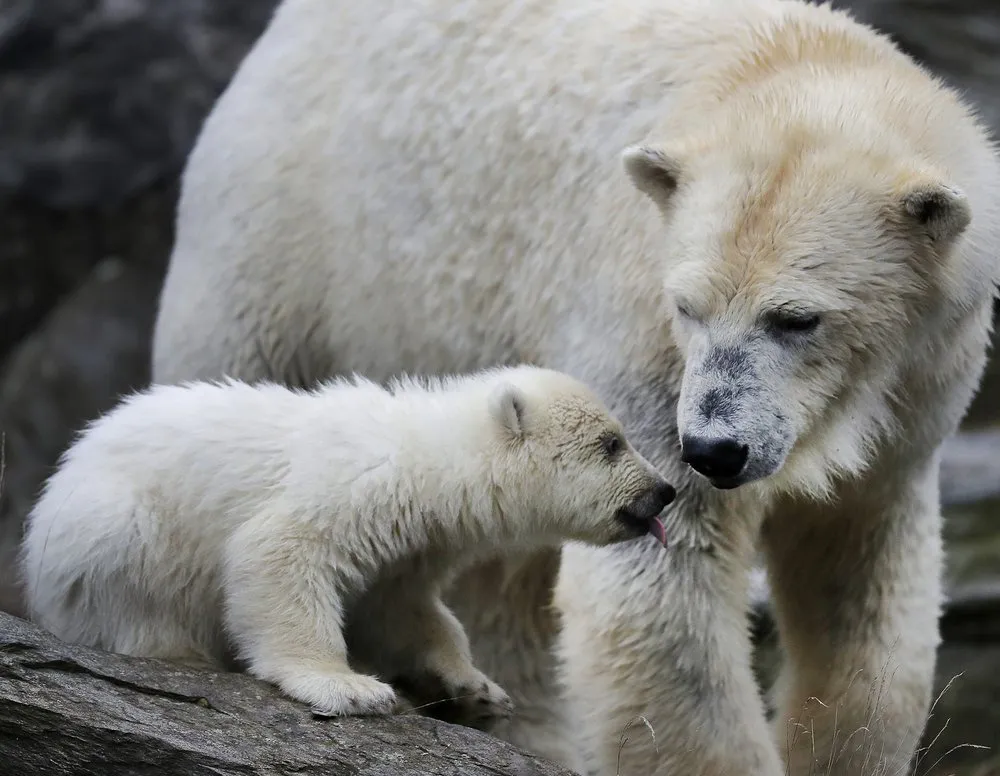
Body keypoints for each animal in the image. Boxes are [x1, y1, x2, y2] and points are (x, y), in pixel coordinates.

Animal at [150, 0, 1000, 772]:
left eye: (798, 319)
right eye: (687, 306)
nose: (715, 450)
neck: (784, 67)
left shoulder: (918, 392)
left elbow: (858, 576)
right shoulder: (642, 339)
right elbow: (663, 588)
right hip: (290, 230)